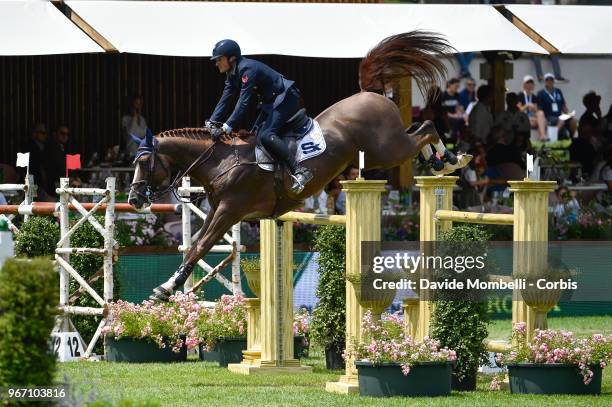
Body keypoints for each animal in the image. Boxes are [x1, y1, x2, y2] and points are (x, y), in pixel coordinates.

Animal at [129, 30, 470, 302]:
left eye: (144, 161)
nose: (133, 199)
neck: (221, 161)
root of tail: (370, 94)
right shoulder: (217, 210)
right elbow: (194, 246)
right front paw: (168, 285)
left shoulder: (230, 211)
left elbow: (201, 246)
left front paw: (165, 289)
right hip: (377, 153)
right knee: (418, 132)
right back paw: (438, 162)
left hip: (387, 149)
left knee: (426, 127)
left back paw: (452, 161)